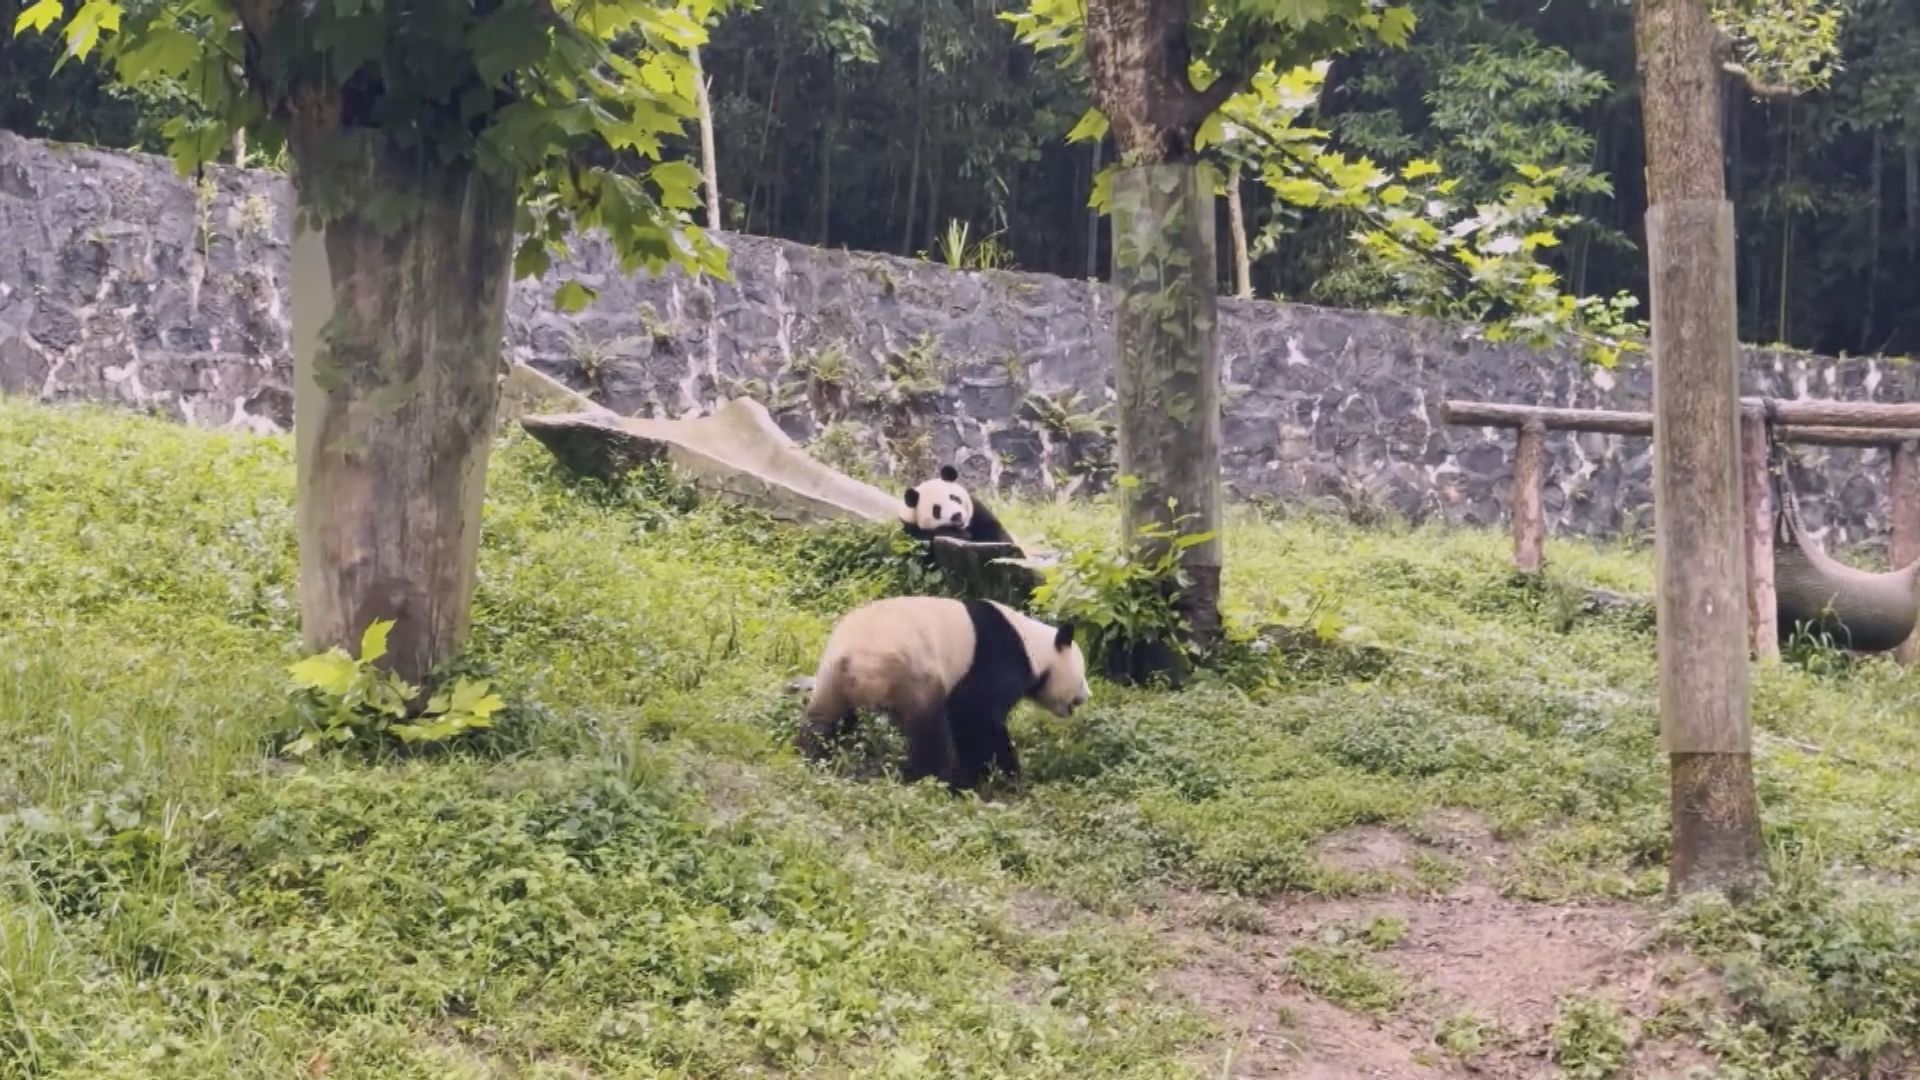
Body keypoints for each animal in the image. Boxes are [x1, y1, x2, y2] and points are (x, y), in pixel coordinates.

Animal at [798, 591, 1098, 787]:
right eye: (1082, 676)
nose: (1086, 696)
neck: (1033, 645)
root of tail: (857, 663)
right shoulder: (999, 656)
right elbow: (973, 713)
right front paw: (1001, 772)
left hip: (832, 676)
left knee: (824, 719)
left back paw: (815, 756)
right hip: (912, 671)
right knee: (929, 729)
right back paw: (938, 778)